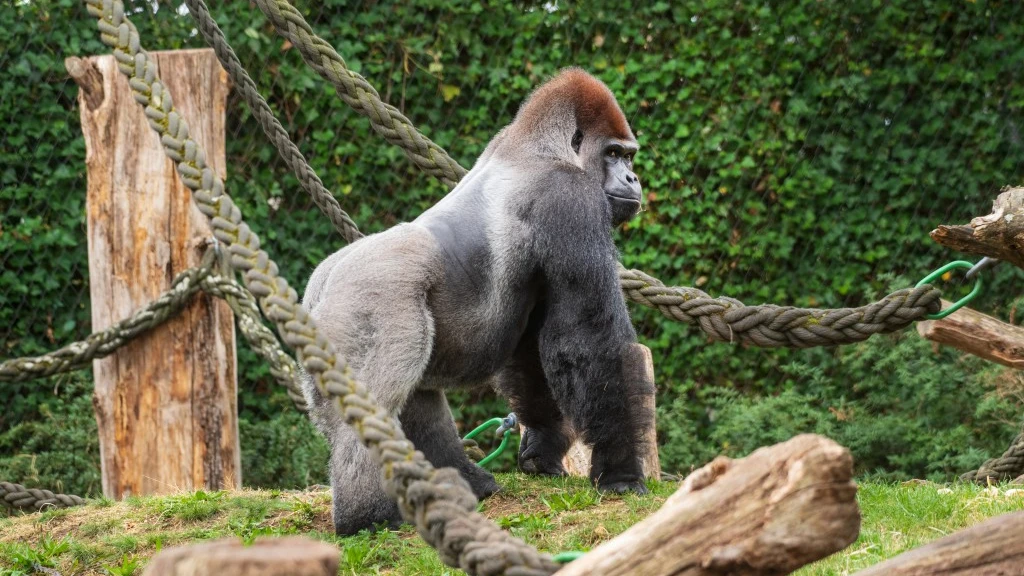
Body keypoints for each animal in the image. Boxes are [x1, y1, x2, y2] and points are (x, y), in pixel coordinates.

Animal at [301, 68, 652, 535]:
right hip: (371, 300)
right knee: (376, 400)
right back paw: (367, 516)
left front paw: (542, 449)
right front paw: (620, 472)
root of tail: (319, 288)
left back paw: (464, 481)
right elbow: (586, 340)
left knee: (414, 394)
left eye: (629, 157)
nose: (633, 180)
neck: (540, 145)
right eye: (614, 154)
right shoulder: (572, 199)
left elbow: (533, 354)